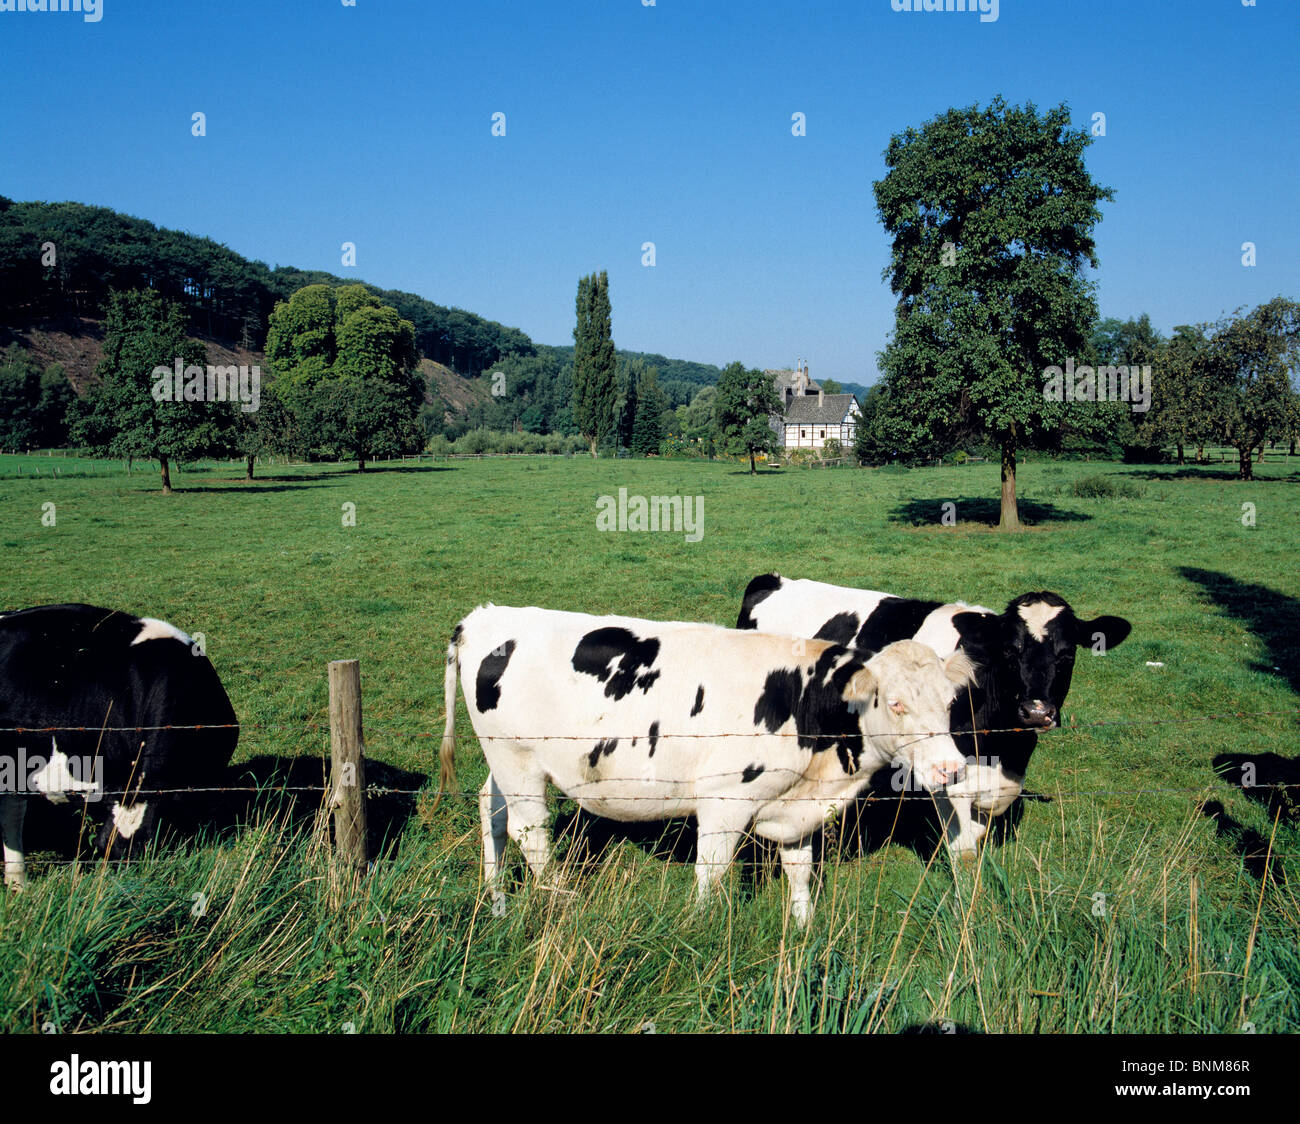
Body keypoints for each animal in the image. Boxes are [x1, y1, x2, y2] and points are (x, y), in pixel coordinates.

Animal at [738, 574, 1133, 857]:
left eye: (1068, 655)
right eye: (1009, 651)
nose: (1036, 712)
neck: (1003, 745)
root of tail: (775, 580)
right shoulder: (949, 779)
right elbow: (964, 852)